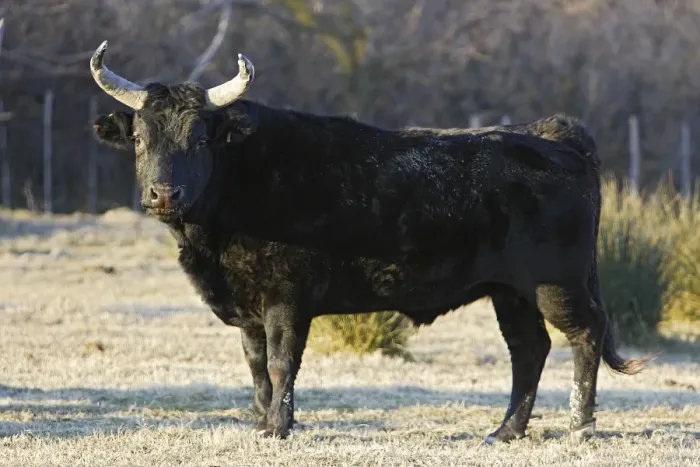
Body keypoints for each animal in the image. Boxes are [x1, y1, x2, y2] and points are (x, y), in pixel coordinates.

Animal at [88, 40, 648, 443]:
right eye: (140, 138)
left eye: (201, 138)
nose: (164, 193)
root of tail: (551, 132)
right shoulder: (248, 308)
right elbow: (256, 367)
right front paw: (261, 421)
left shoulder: (287, 299)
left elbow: (281, 362)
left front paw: (278, 428)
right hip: (510, 293)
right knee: (529, 350)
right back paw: (504, 432)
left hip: (556, 284)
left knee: (583, 336)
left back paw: (579, 428)